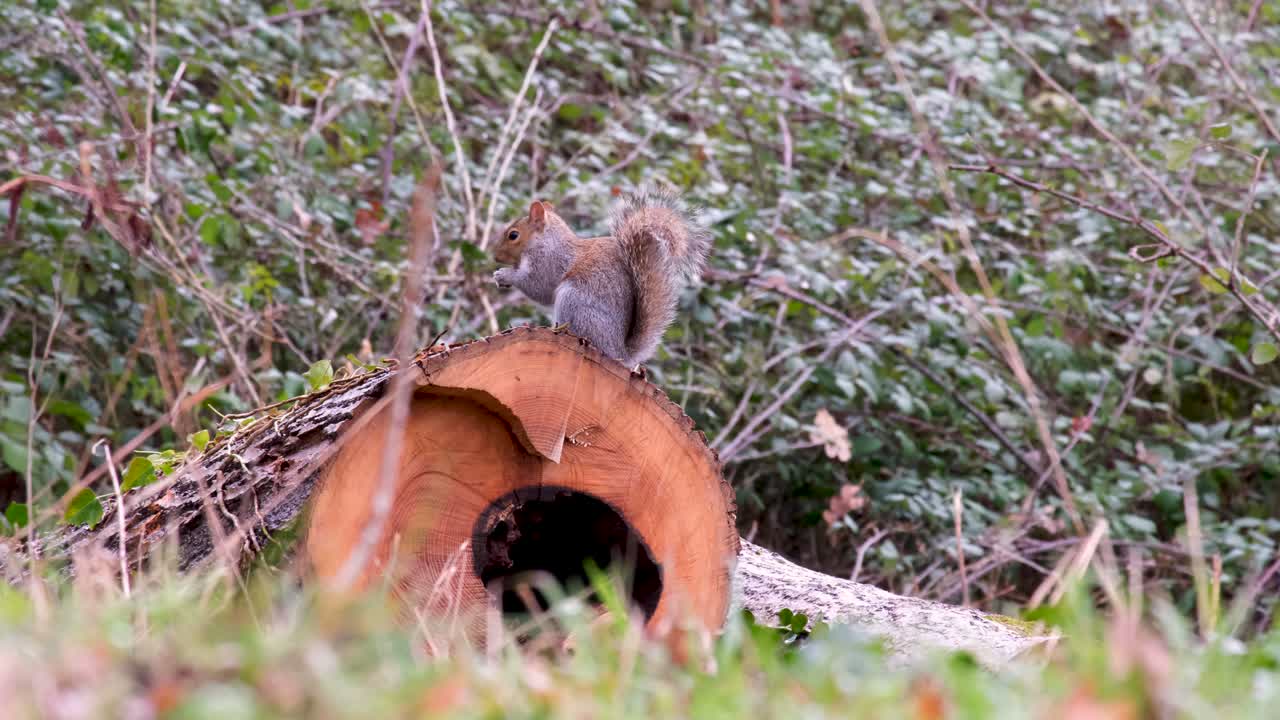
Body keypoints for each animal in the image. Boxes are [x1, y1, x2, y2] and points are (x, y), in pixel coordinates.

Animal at [492, 189, 710, 368]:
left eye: (513, 235)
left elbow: (539, 287)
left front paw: (505, 275)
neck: (546, 241)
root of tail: (620, 355)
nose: (495, 256)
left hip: (574, 301)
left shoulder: (550, 262)